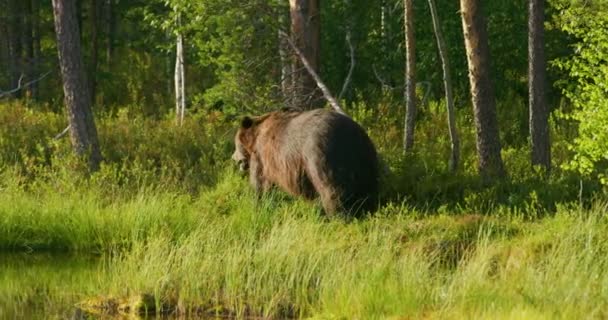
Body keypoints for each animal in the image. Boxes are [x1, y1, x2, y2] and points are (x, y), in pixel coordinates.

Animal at [233, 109, 380, 216]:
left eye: (235, 144)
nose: (233, 158)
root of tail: (350, 134)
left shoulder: (262, 155)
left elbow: (260, 183)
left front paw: (257, 202)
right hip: (365, 156)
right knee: (369, 188)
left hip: (319, 154)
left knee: (331, 189)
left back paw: (336, 215)